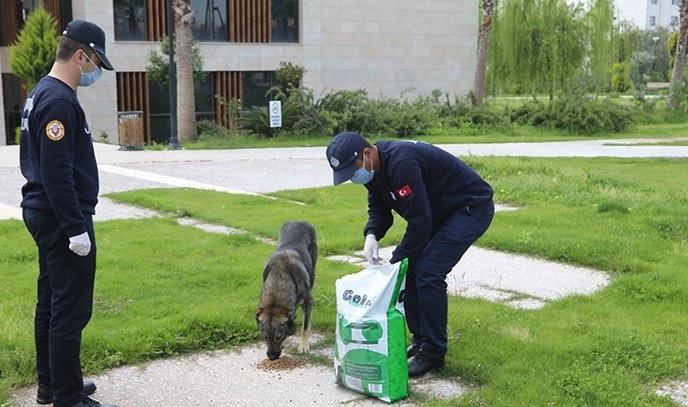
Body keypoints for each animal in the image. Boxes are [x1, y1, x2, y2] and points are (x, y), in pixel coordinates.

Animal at [255, 222, 318, 362]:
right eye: (264, 336)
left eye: (279, 336)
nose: (271, 357)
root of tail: (298, 220)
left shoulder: (308, 301)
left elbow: (305, 327)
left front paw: (303, 346)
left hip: (312, 269)